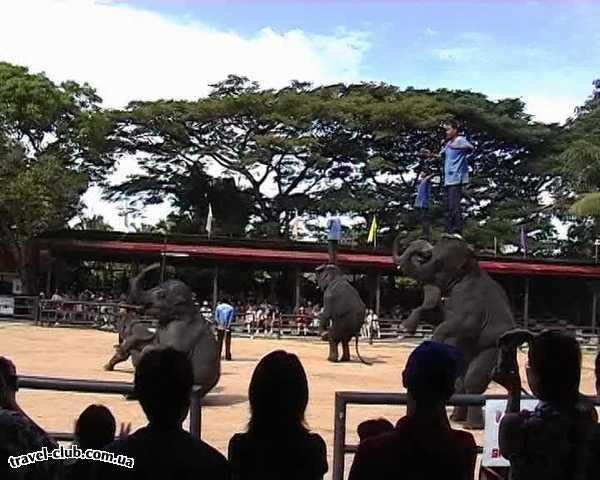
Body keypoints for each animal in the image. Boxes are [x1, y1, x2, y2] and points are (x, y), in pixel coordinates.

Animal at [125, 262, 221, 398]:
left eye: (161, 295)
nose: (156, 264)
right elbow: (153, 342)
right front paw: (130, 348)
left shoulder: (182, 329)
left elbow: (173, 348)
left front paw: (142, 353)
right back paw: (130, 395)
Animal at [394, 236, 516, 428]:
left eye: (438, 263)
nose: (424, 251)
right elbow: (439, 315)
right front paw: (405, 328)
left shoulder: (473, 303)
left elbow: (463, 324)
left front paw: (434, 340)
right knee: (460, 382)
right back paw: (456, 419)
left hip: (494, 348)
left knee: (473, 380)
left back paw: (472, 425)